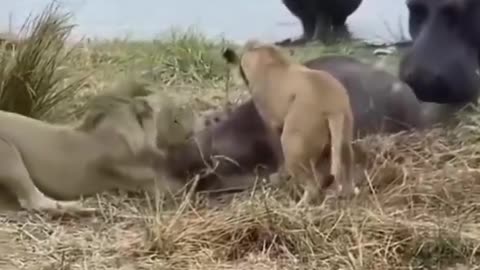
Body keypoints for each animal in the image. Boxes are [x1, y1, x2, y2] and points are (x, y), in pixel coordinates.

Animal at [223, 40, 358, 205]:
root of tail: (333, 108)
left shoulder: (272, 125)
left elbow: (278, 156)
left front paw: (280, 176)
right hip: (343, 140)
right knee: (346, 169)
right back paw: (347, 193)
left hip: (292, 144)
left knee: (313, 185)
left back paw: (299, 205)